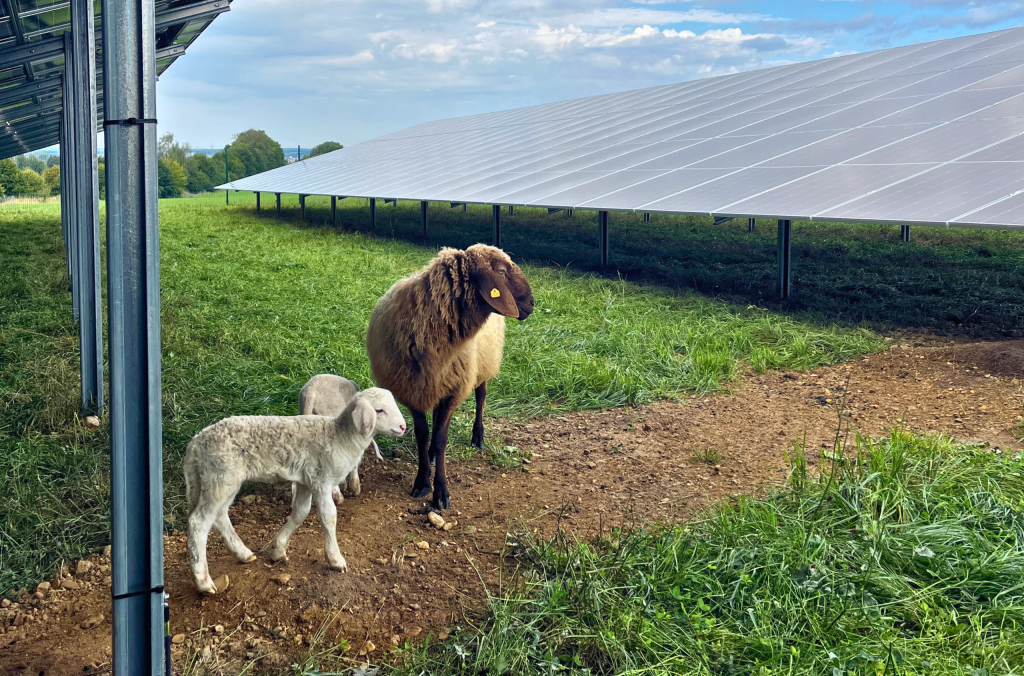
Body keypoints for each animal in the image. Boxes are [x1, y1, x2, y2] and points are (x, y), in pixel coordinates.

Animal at [183, 387, 406, 594]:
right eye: (379, 410)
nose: (403, 426)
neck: (341, 437)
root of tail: (195, 443)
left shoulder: (306, 480)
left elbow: (300, 513)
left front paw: (278, 550)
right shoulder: (321, 480)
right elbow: (329, 517)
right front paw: (335, 559)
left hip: (223, 479)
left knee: (220, 515)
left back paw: (243, 553)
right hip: (220, 476)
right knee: (199, 522)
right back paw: (203, 582)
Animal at [366, 244, 534, 511]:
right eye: (500, 270)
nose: (531, 303)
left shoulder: (454, 389)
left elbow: (440, 440)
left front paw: (441, 491)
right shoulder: (413, 388)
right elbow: (424, 436)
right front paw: (422, 481)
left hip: (482, 366)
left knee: (481, 398)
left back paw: (477, 437)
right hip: (437, 383)